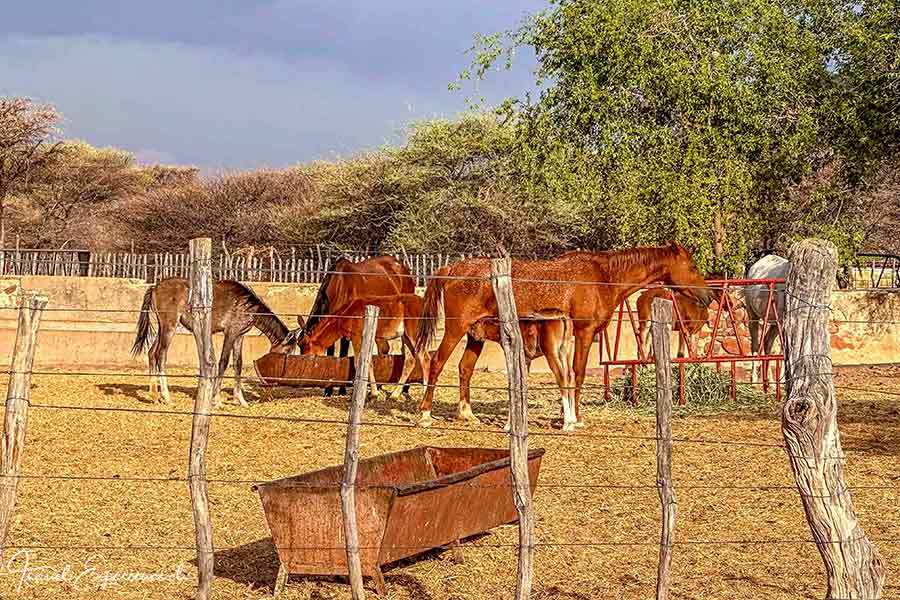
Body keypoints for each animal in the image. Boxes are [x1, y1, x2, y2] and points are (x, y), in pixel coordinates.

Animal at [132, 278, 292, 406]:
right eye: (286, 352)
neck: (247, 305)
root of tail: (155, 287)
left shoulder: (239, 336)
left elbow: (238, 364)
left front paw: (240, 400)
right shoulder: (230, 333)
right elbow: (224, 362)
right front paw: (217, 399)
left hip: (162, 328)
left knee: (152, 353)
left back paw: (154, 396)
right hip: (169, 327)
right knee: (161, 355)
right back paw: (167, 397)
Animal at [296, 296, 428, 404]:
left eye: (303, 344)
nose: (303, 360)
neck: (347, 313)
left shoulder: (357, 337)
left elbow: (359, 362)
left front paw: (371, 394)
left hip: (415, 336)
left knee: (425, 359)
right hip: (406, 337)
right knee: (410, 360)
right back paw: (394, 395)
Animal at [302, 255, 414, 396]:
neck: (340, 286)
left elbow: (343, 353)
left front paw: (342, 389)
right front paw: (328, 390)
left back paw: (404, 388)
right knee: (385, 350)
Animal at [416, 243, 716, 426]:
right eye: (692, 267)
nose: (709, 296)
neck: (603, 277)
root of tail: (451, 269)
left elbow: (569, 375)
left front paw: (567, 413)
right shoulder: (584, 333)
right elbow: (577, 374)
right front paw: (575, 417)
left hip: (474, 336)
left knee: (464, 368)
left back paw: (467, 414)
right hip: (455, 329)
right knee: (436, 362)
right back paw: (425, 415)